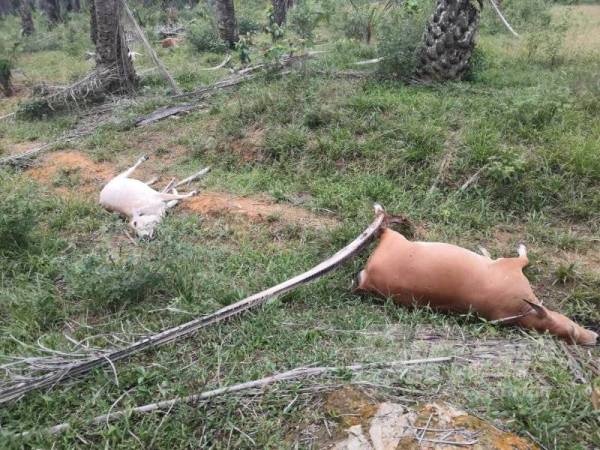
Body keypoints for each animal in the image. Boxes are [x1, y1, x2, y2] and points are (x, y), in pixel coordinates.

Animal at [356, 227, 596, 346]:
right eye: (572, 329)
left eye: (571, 335)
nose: (594, 339)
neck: (520, 311)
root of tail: (366, 279)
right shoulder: (511, 265)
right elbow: (523, 256)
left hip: (395, 238)